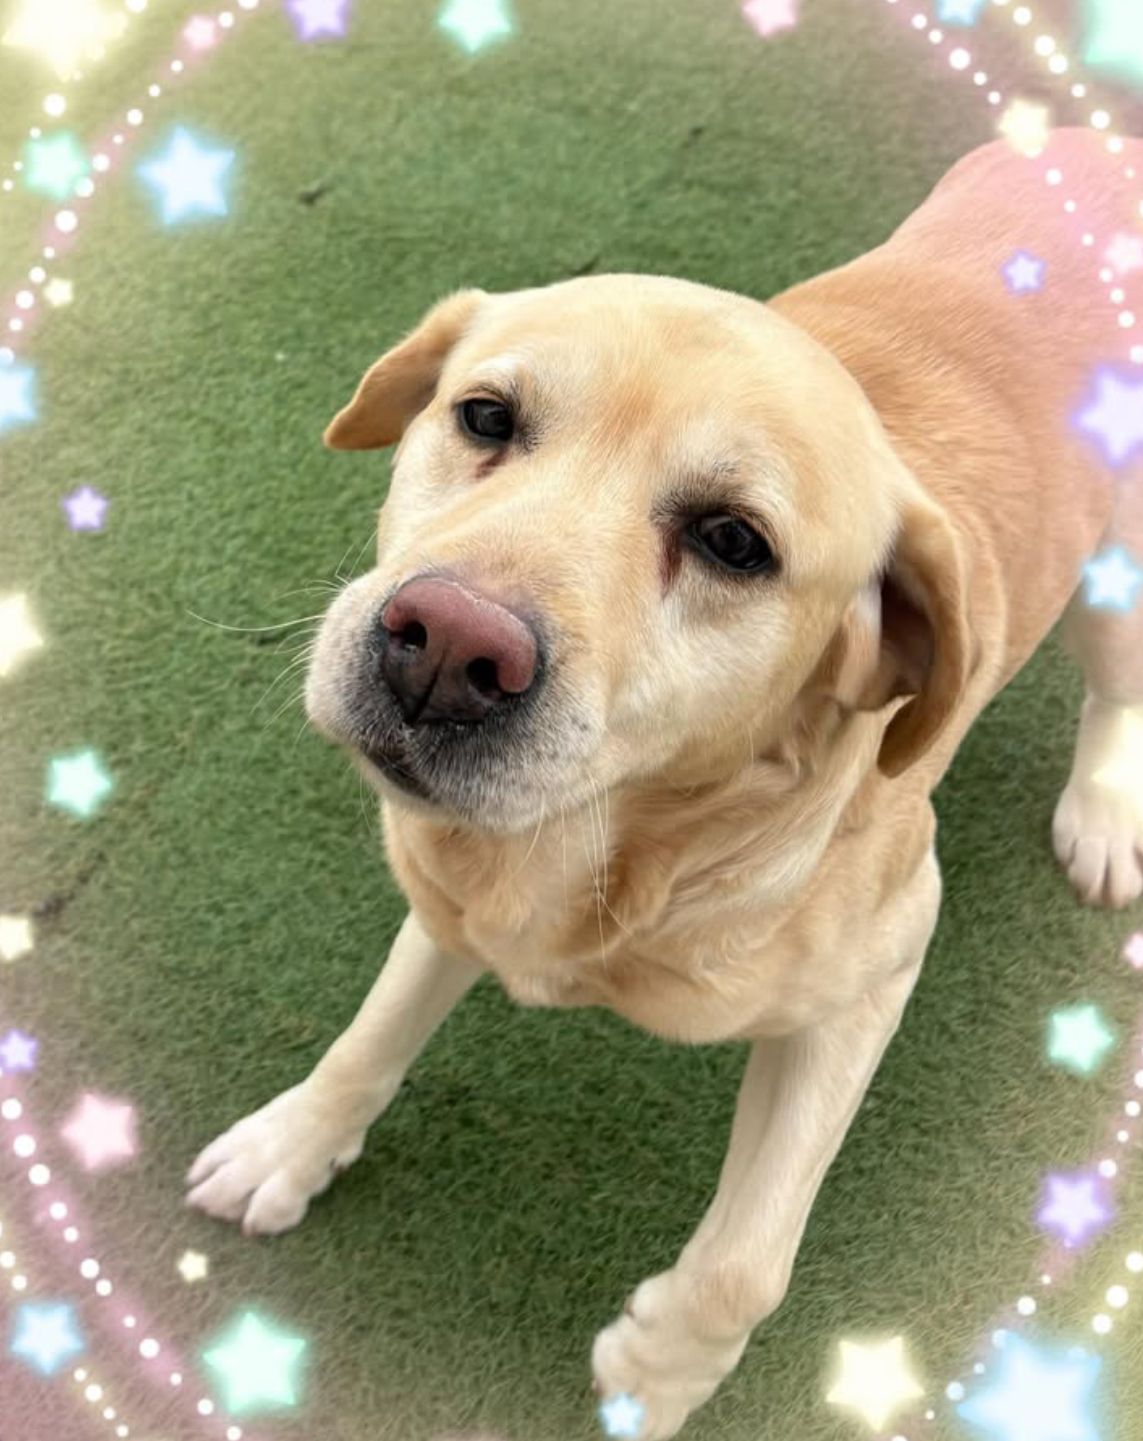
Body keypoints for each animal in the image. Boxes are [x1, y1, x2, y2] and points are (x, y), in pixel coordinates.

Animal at [187, 127, 1143, 1438]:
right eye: (484, 416)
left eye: (734, 541)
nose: (445, 647)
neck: (619, 839)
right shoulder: (459, 888)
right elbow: (370, 1034)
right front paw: (293, 1142)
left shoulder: (882, 966)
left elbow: (748, 1259)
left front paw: (664, 1367)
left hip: (1114, 584)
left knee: (1116, 689)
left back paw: (1104, 812)